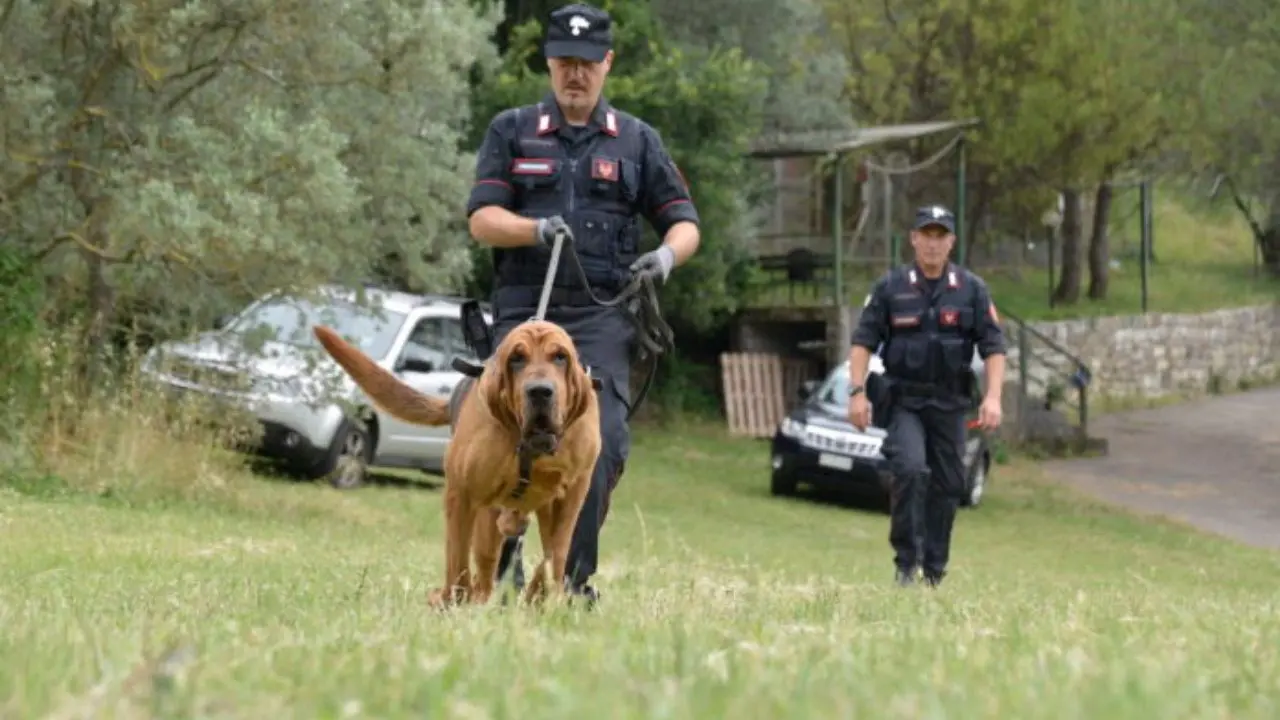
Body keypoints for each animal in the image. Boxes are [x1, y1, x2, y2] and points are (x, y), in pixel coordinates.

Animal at [314, 319, 604, 604]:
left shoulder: (571, 495)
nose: (540, 392)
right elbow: (458, 557)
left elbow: (555, 552)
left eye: (560, 357)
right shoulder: (463, 493)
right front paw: (454, 600)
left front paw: (544, 597)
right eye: (516, 359)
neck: (531, 449)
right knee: (482, 560)